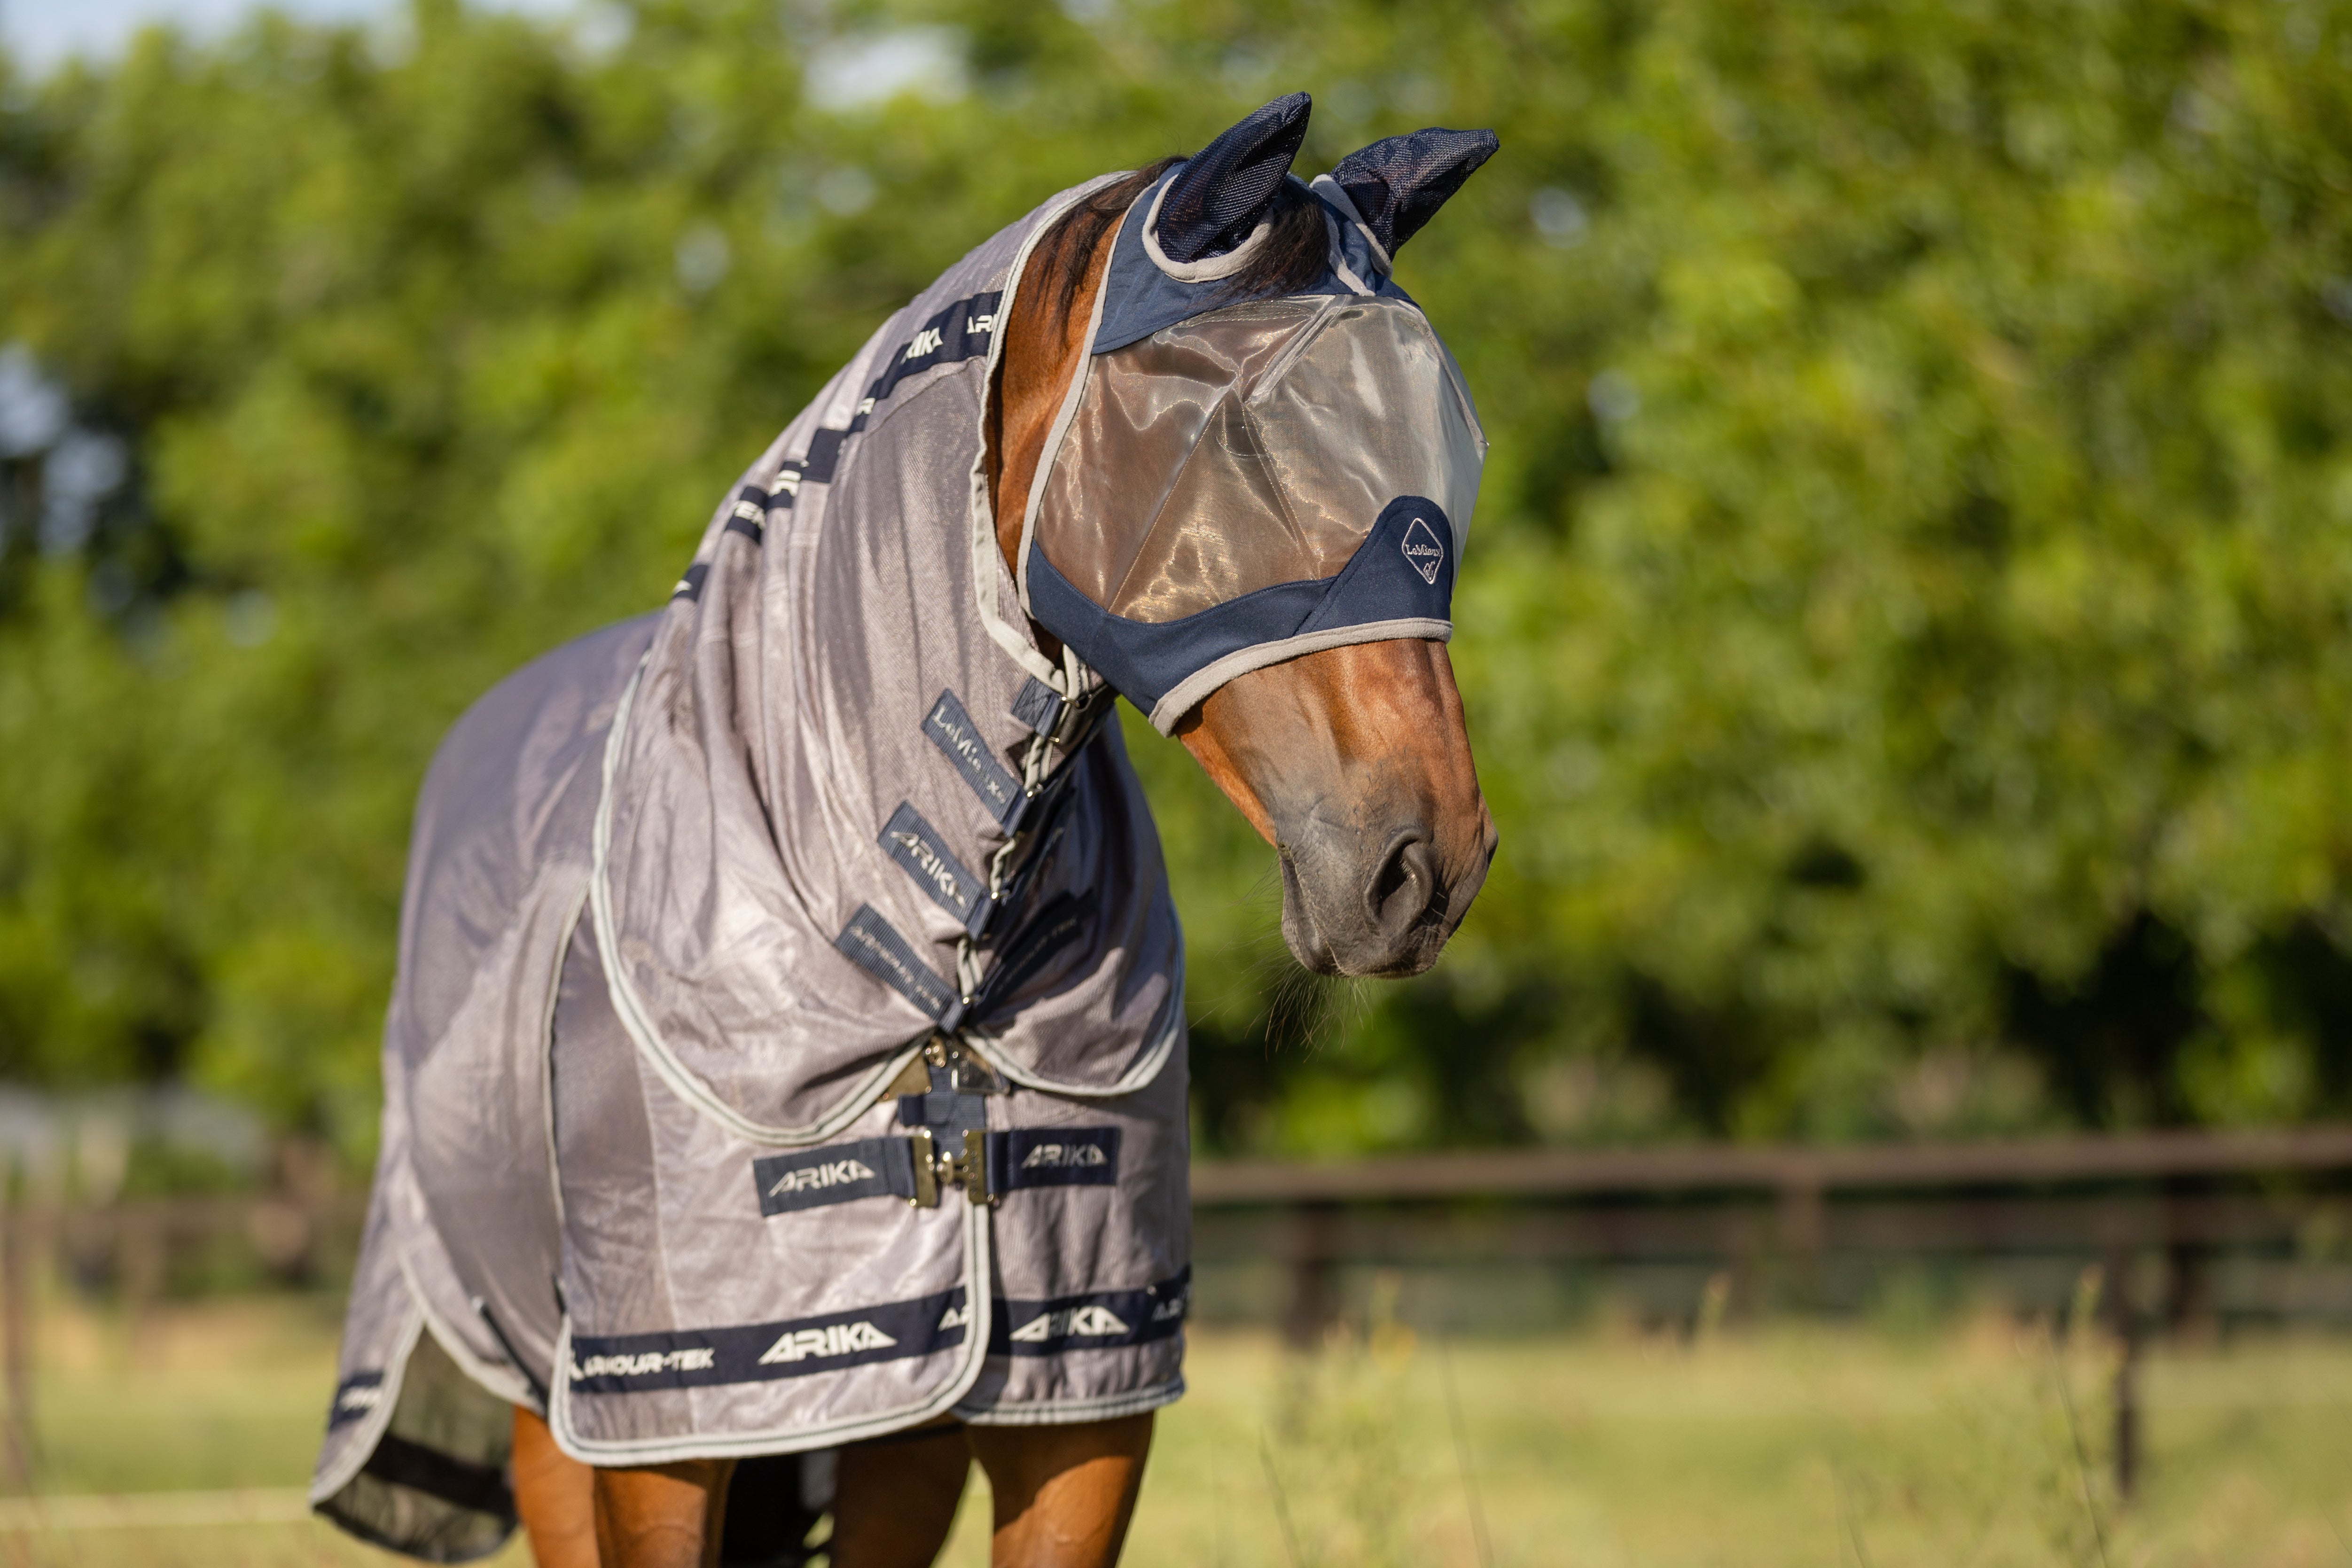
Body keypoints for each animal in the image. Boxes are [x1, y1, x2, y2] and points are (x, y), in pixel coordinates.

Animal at [308, 93, 1497, 1568]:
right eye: (1238, 437)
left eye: (1449, 458)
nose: (1425, 865)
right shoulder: (668, 1422)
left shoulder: (1078, 1405)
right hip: (549, 1413)